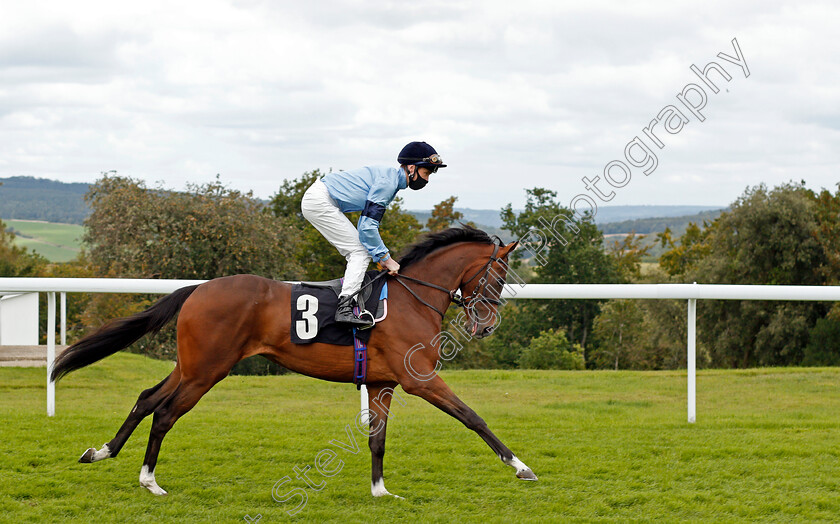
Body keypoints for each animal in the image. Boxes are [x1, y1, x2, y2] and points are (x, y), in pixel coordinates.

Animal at [52, 225, 540, 496]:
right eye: (497, 276)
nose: (486, 325)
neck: (409, 298)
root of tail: (198, 289)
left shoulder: (383, 383)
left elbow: (378, 439)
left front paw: (381, 492)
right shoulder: (419, 379)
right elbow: (473, 417)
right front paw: (521, 467)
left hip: (191, 365)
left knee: (147, 398)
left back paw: (101, 451)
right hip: (207, 370)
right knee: (166, 412)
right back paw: (150, 481)